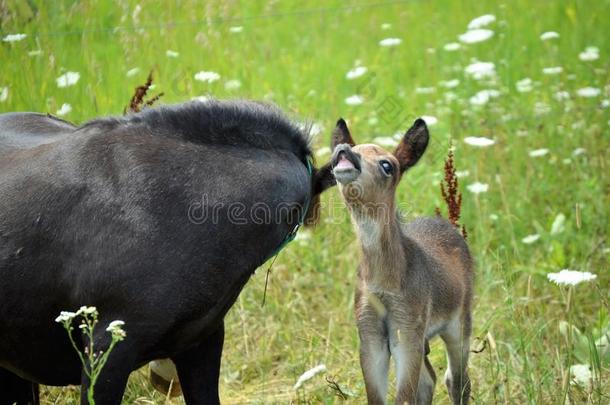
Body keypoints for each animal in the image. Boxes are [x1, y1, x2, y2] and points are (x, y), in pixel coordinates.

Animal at [330, 118, 472, 402]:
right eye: (354, 147)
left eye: (387, 165)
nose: (343, 151)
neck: (386, 283)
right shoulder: (368, 330)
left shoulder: (407, 327)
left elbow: (404, 397)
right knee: (430, 379)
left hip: (460, 319)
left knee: (457, 380)